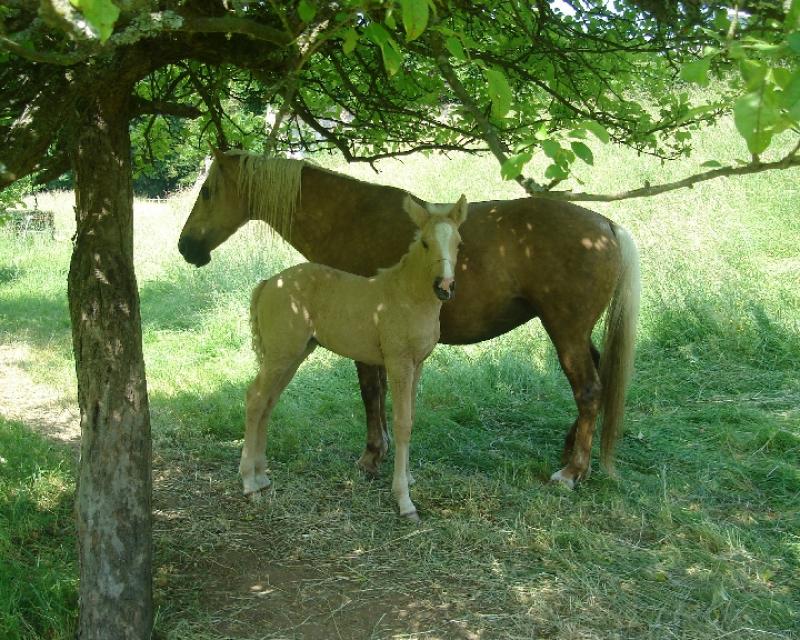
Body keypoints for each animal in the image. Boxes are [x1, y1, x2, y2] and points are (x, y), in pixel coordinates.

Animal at [178, 150, 640, 488]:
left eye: (207, 192)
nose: (186, 247)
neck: (349, 217)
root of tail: (605, 225)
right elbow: (379, 393)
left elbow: (370, 393)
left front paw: (371, 457)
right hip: (573, 332)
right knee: (597, 379)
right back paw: (569, 451)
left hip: (565, 331)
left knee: (588, 390)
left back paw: (573, 471)